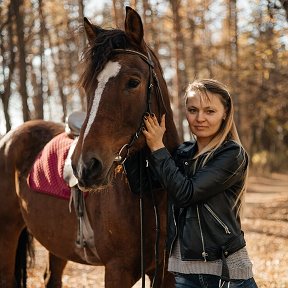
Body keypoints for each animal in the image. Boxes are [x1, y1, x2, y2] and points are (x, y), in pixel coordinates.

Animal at [0, 6, 179, 288]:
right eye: (87, 85)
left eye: (133, 82)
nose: (85, 166)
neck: (152, 193)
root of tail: (9, 138)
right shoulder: (117, 270)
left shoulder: (166, 274)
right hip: (7, 232)